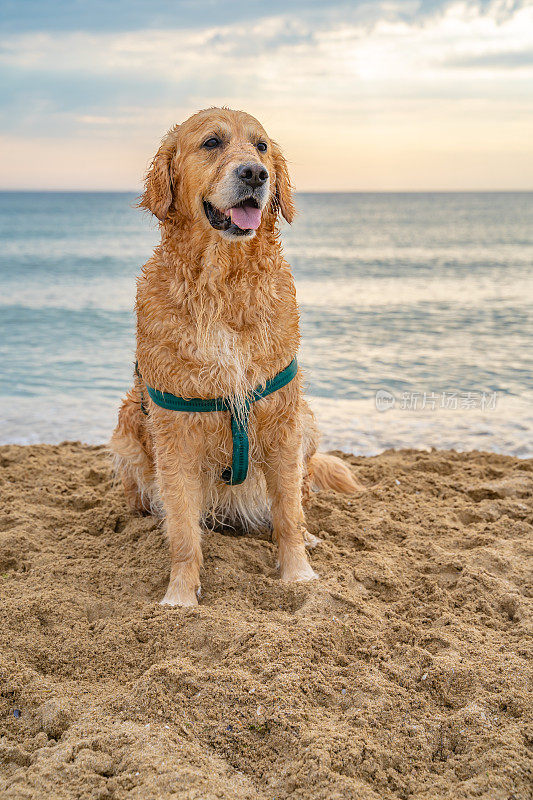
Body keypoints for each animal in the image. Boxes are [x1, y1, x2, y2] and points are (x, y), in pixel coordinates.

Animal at [110, 108, 358, 608]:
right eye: (211, 143)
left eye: (261, 146)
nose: (256, 174)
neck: (222, 285)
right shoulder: (174, 432)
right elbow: (183, 531)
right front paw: (180, 595)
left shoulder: (282, 419)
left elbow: (288, 513)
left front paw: (299, 573)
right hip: (128, 422)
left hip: (307, 418)